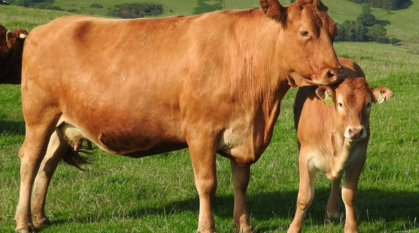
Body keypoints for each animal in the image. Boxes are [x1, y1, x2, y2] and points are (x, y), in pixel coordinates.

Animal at [16, 0, 344, 233]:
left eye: (334, 30)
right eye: (305, 32)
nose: (336, 73)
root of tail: (46, 27)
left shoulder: (244, 132)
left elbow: (241, 181)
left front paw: (244, 224)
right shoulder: (201, 132)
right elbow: (207, 183)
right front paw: (207, 227)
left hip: (62, 124)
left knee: (47, 164)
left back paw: (40, 216)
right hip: (39, 116)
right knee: (30, 160)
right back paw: (23, 222)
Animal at [290, 57, 392, 231]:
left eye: (368, 104)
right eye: (340, 103)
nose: (356, 131)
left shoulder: (358, 159)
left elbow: (349, 195)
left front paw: (351, 228)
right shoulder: (305, 158)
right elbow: (304, 196)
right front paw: (294, 227)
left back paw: (333, 209)